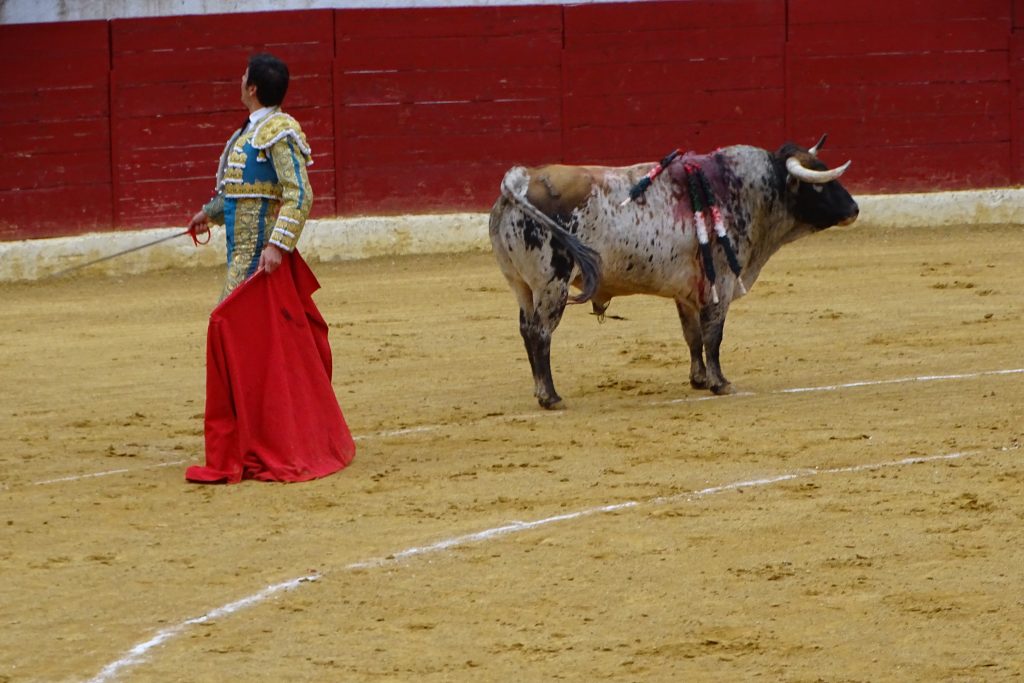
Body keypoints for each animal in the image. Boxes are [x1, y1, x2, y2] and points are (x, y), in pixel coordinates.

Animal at [489, 136, 859, 409]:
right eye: (820, 185)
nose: (854, 209)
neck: (741, 189)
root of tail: (521, 179)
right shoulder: (721, 283)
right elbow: (713, 336)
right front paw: (721, 383)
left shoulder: (689, 289)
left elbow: (692, 335)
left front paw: (699, 380)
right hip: (552, 284)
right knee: (541, 333)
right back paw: (550, 397)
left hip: (521, 286)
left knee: (526, 330)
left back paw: (541, 391)